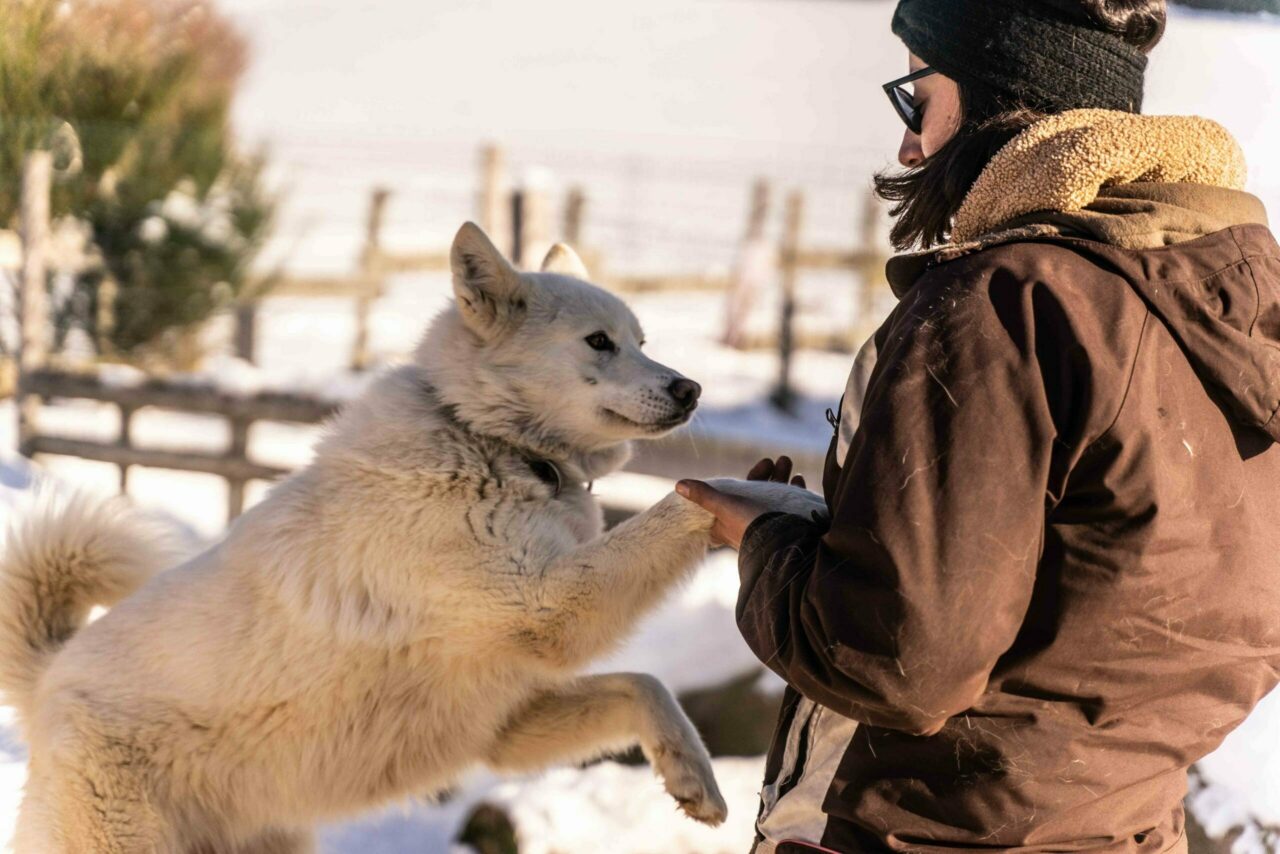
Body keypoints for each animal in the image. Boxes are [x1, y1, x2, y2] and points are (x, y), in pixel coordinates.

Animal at [0, 224, 819, 850]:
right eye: (598, 343)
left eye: (642, 341)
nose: (691, 389)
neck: (490, 443)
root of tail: (47, 679)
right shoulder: (552, 607)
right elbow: (691, 502)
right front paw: (785, 497)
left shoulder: (504, 720)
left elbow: (644, 685)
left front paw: (692, 779)